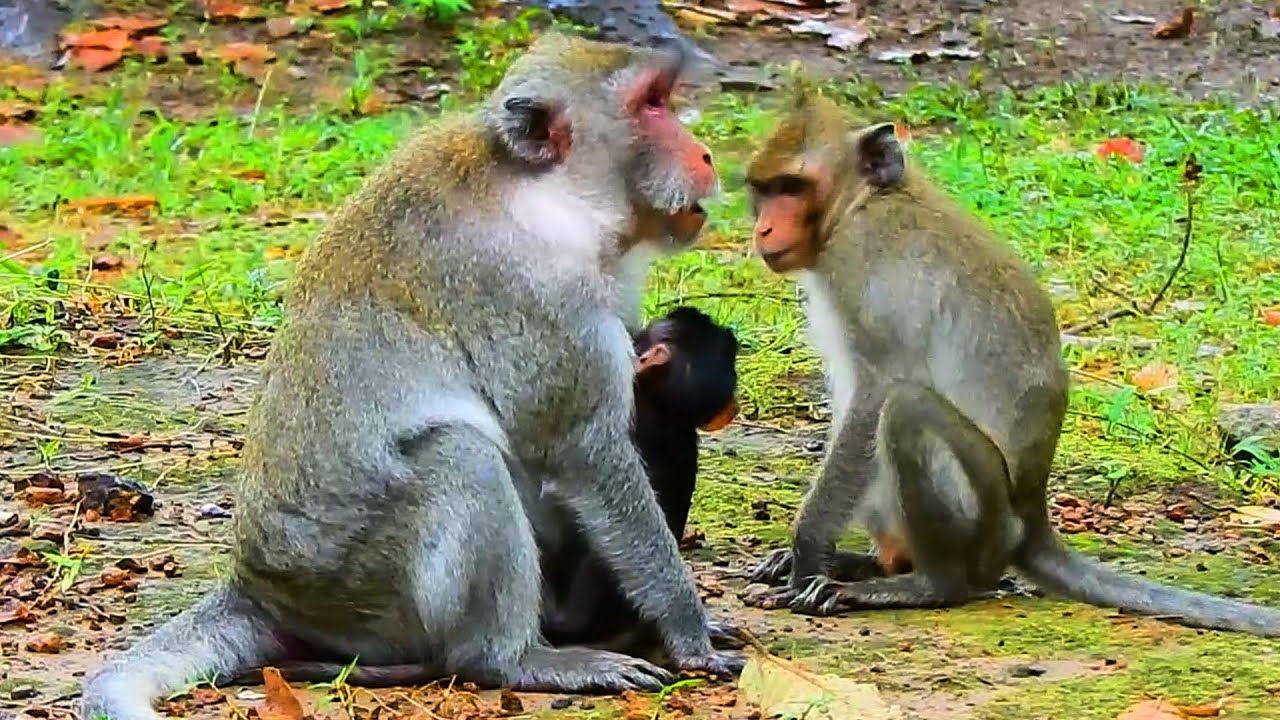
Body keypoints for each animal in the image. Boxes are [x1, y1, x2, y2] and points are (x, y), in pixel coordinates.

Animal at [737, 86, 1280, 638]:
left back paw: (927, 584)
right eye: (764, 190)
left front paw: (806, 552)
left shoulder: (862, 263)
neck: (858, 206)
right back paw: (879, 564)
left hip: (985, 519)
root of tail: (1030, 519)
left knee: (906, 410)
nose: (763, 228)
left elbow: (875, 395)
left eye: (792, 188)